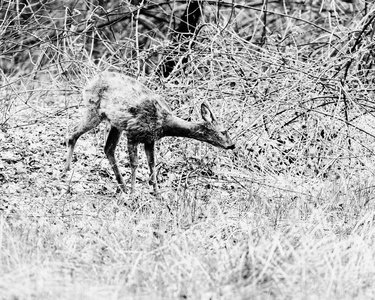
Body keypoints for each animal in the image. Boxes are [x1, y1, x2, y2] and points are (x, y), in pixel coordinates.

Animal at [64, 72, 235, 195]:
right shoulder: (133, 133)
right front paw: (134, 193)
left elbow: (152, 163)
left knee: (108, 148)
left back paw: (122, 186)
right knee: (73, 134)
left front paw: (157, 192)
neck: (164, 122)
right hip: (94, 111)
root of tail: (90, 82)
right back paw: (66, 170)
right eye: (224, 131)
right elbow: (135, 163)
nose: (232, 145)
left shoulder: (149, 139)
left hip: (116, 124)